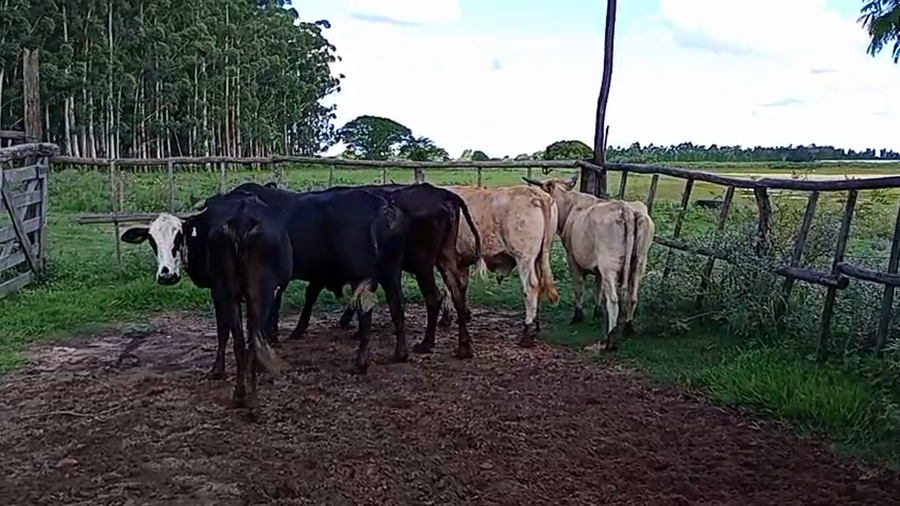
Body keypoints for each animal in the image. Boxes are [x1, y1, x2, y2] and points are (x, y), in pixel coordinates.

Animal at [312, 183, 487, 359]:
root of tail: (442, 194)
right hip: (444, 256)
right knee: (457, 293)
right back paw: (464, 347)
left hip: (423, 264)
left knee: (434, 297)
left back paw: (426, 344)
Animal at [433, 184, 560, 348]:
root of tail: (536, 193)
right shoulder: (462, 259)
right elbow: (460, 287)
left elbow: (449, 287)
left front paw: (446, 318)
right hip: (541, 256)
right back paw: (536, 326)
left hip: (524, 258)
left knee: (531, 288)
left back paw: (527, 333)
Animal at [522, 174, 655, 351]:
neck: (571, 205)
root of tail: (624, 207)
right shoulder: (599, 269)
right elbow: (598, 289)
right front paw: (597, 313)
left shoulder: (573, 259)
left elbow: (579, 289)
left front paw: (578, 316)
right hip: (639, 263)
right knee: (633, 297)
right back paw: (628, 328)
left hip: (609, 266)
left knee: (613, 300)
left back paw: (610, 339)